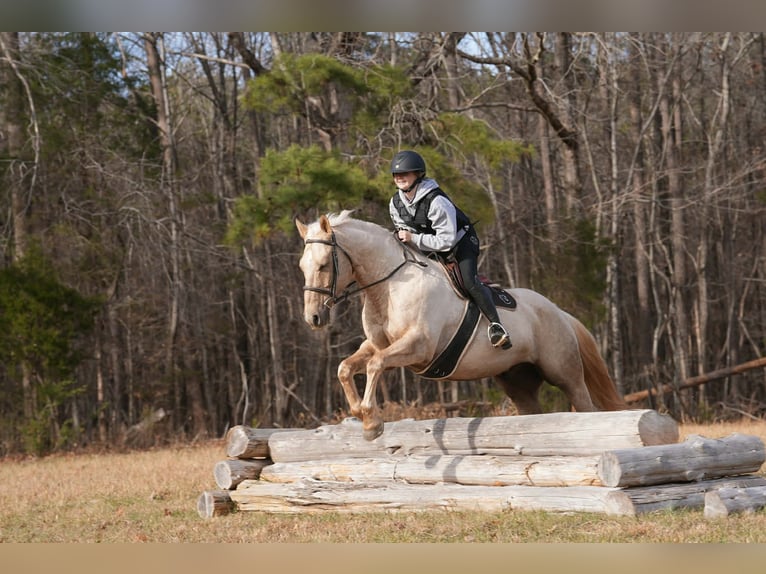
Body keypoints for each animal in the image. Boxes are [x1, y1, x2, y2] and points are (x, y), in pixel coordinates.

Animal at [295, 210, 627, 441]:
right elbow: (346, 367)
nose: (313, 319)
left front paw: (372, 423)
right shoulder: (378, 344)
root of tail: (559, 312)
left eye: (323, 265)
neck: (390, 285)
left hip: (564, 373)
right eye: (302, 266)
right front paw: (360, 416)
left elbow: (375, 365)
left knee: (584, 404)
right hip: (518, 383)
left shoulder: (418, 347)